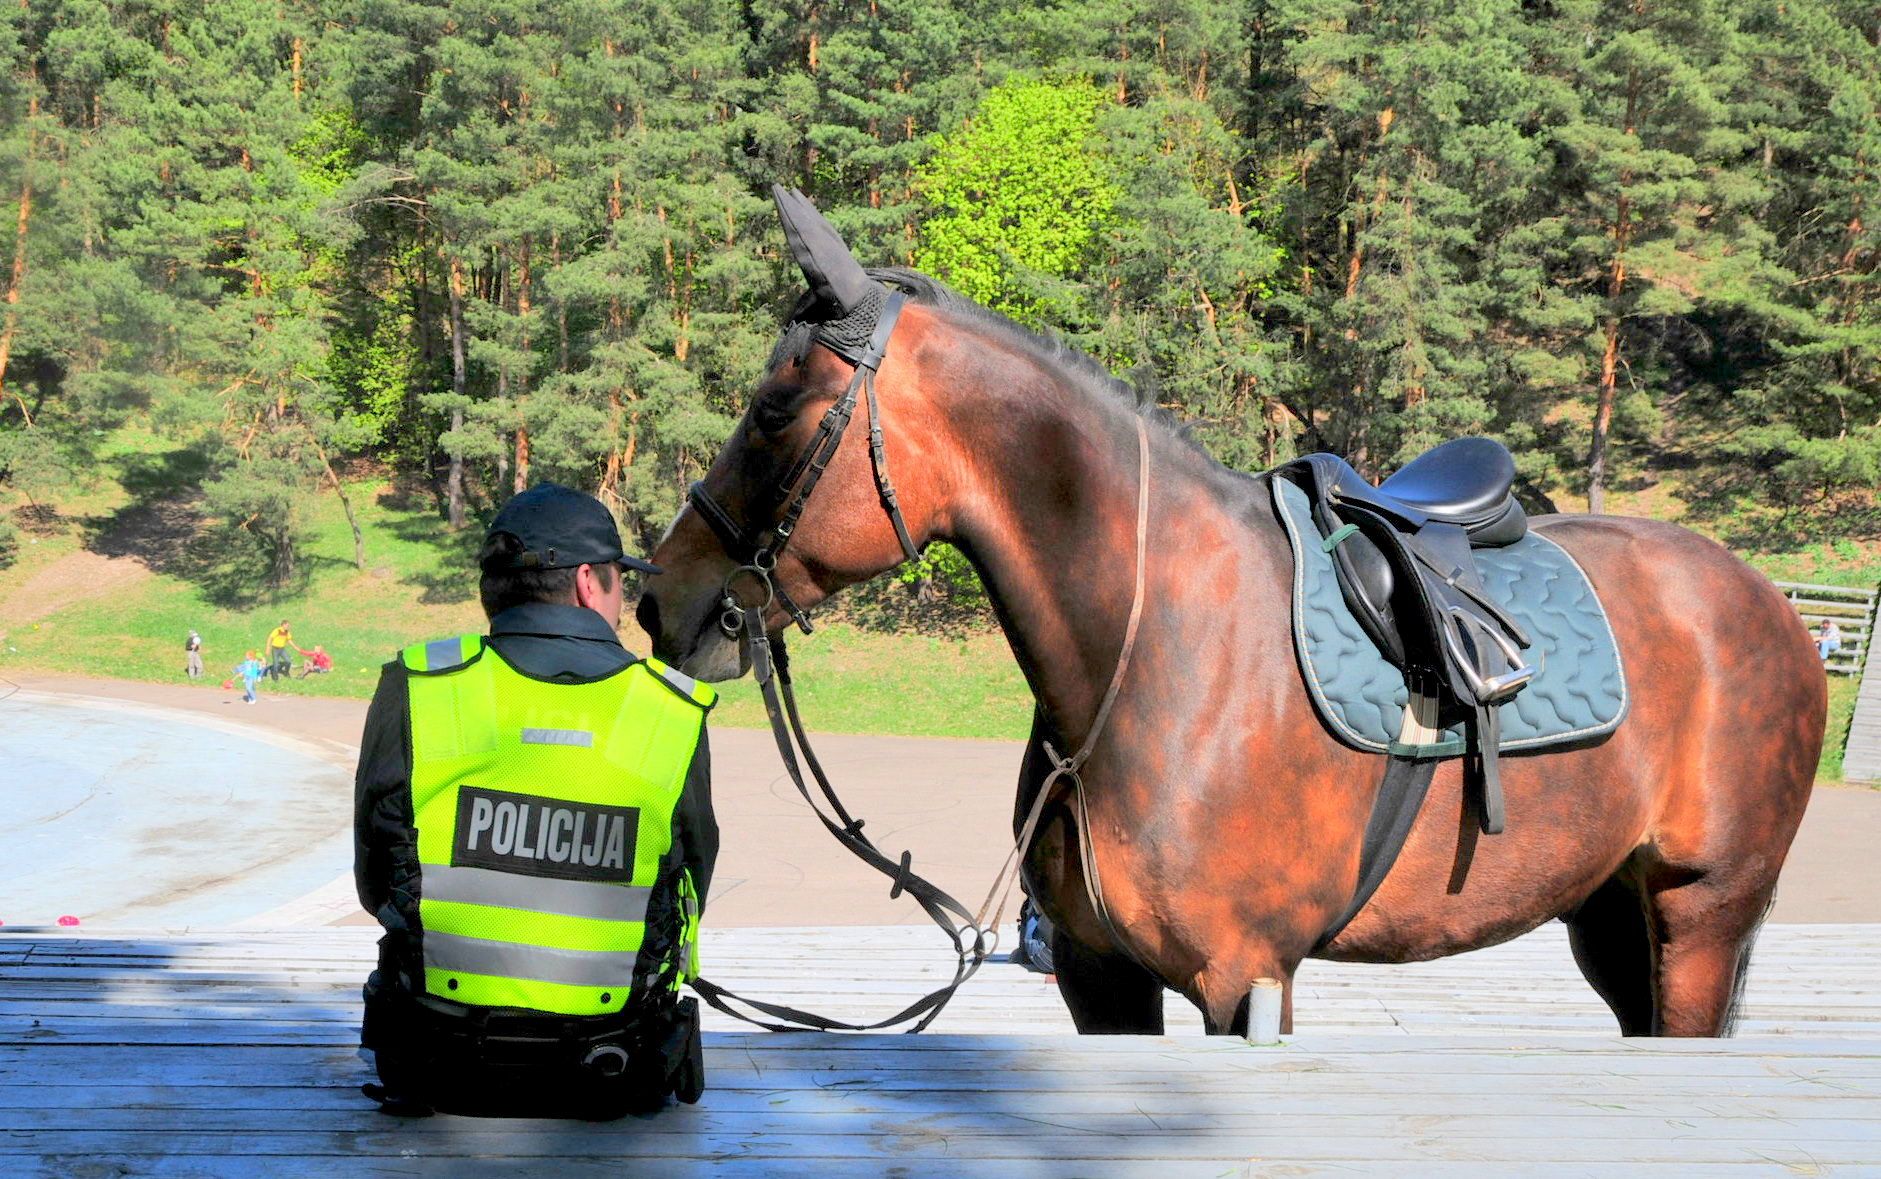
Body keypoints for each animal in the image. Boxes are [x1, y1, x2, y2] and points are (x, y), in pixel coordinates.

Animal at [639, 239, 1828, 1045]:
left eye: (777, 412)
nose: (664, 598)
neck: (1154, 659)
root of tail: (1772, 605)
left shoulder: (1243, 977)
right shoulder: (1102, 979)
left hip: (1701, 913)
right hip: (1615, 917)